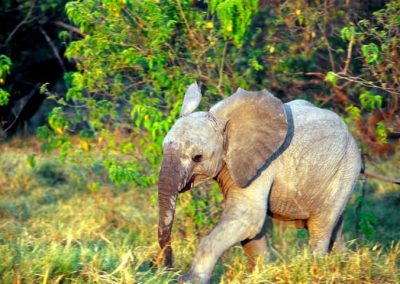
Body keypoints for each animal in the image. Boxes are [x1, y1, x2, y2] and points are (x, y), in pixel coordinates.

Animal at [157, 83, 362, 282]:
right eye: (163, 149)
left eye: (197, 157)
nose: (169, 271)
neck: (223, 122)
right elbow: (251, 229)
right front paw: (264, 273)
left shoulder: (262, 165)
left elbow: (247, 217)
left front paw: (187, 281)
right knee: (336, 225)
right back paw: (342, 265)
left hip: (346, 168)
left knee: (320, 225)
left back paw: (317, 269)